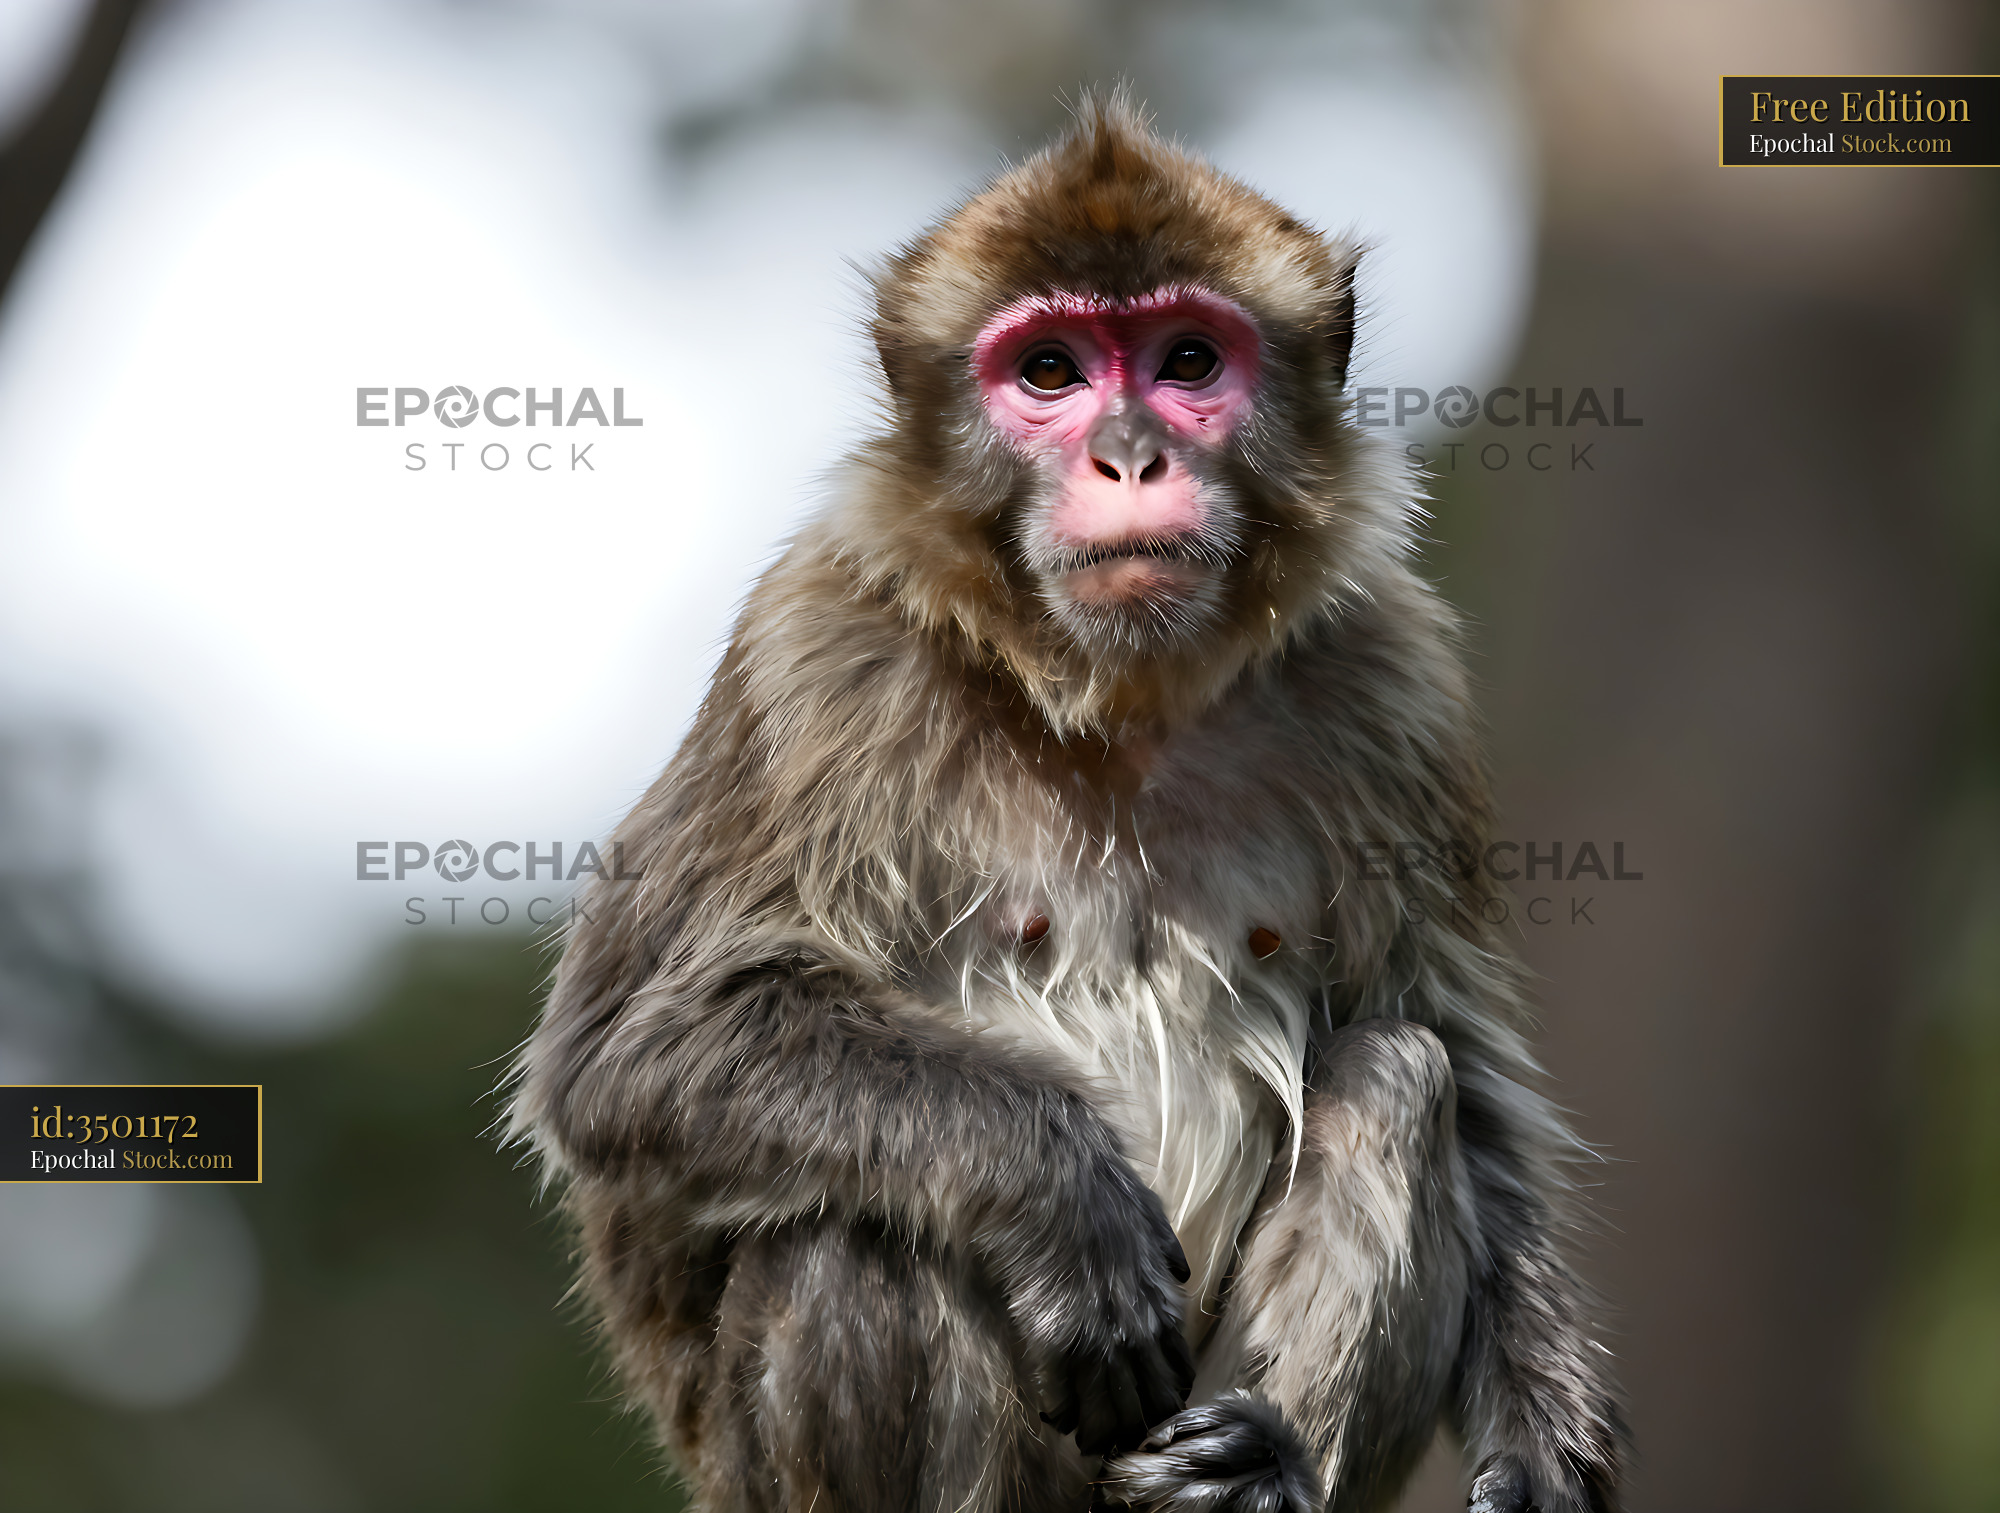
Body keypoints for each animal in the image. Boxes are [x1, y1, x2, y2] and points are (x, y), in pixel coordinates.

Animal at [510, 94, 1623, 1513]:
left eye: (1187, 358)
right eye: (1047, 372)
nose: (1130, 454)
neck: (1113, 701)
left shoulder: (1392, 681)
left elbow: (1463, 1079)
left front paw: (1542, 1440)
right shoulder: (814, 653)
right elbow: (625, 1056)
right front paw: (1058, 1192)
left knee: (1394, 1074)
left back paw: (1249, 1472)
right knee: (853, 1218)